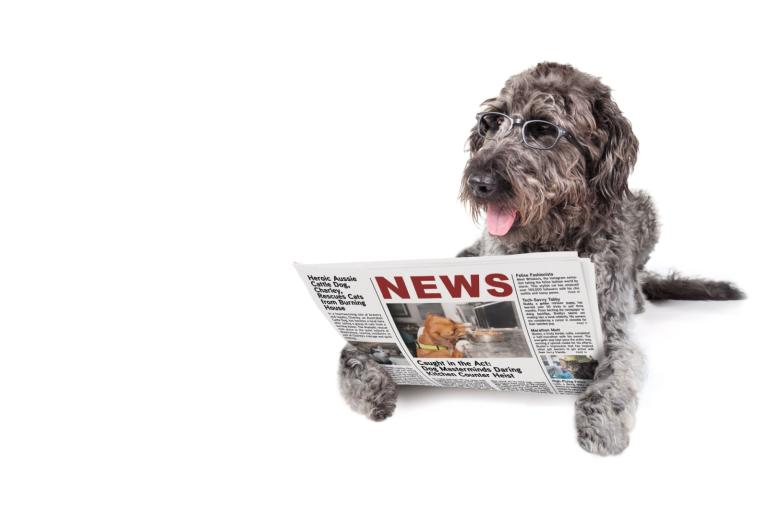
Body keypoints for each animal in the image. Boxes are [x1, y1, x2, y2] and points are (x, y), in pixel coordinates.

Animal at [338, 63, 744, 456]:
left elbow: (616, 372)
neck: (548, 239)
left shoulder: (611, 331)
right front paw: (367, 383)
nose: (479, 182)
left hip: (645, 207)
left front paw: (602, 424)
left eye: (543, 128)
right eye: (492, 121)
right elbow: (350, 350)